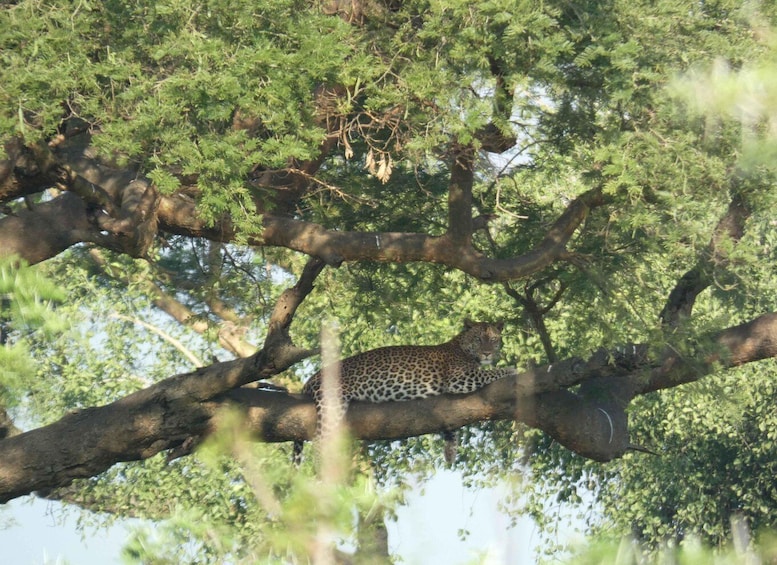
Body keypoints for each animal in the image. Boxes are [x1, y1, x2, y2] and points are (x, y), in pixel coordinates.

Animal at [293, 320, 517, 464]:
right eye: (478, 339)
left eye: (494, 339)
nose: (487, 353)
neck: (461, 346)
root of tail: (312, 377)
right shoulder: (459, 379)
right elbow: (489, 373)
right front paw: (512, 369)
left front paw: (450, 450)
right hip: (332, 403)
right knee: (320, 440)